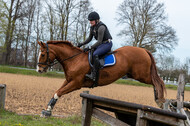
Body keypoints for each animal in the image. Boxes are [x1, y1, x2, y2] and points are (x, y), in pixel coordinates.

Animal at [36, 40, 165, 116]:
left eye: (42, 54)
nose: (39, 70)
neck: (74, 59)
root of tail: (144, 50)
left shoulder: (76, 83)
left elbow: (59, 92)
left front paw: (48, 110)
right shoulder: (68, 80)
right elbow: (57, 92)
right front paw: (48, 109)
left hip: (142, 75)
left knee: (158, 82)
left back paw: (161, 101)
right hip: (135, 74)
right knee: (156, 82)